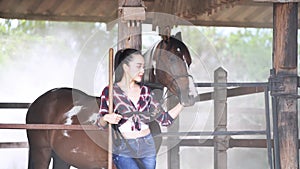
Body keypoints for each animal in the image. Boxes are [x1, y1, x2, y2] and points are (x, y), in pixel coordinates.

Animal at [26, 32, 197, 168]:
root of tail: (37, 102)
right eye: (172, 59)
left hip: (62, 158)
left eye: (189, 61)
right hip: (41, 153)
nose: (191, 95)